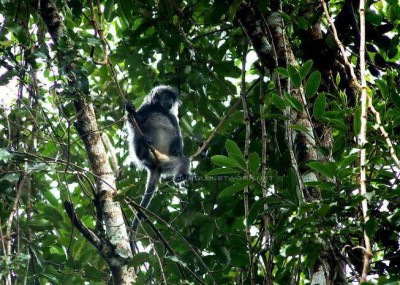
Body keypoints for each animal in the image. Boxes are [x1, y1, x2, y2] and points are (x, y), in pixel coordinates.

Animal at [127, 85, 191, 232]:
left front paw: (178, 150)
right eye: (166, 96)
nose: (170, 102)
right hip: (147, 156)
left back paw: (181, 176)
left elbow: (177, 132)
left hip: (166, 161)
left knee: (184, 160)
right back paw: (143, 147)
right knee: (137, 136)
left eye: (172, 99)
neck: (159, 108)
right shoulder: (146, 108)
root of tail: (155, 166)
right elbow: (133, 121)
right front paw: (130, 110)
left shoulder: (171, 115)